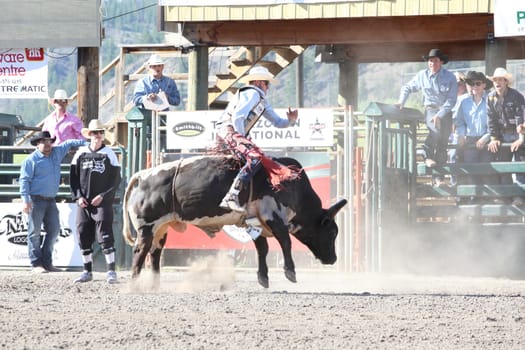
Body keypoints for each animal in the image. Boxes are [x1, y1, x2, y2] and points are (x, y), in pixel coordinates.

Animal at [121, 155, 346, 288]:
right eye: (332, 232)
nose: (333, 259)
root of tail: (142, 175)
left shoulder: (255, 221)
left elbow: (262, 248)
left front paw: (263, 278)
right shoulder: (272, 215)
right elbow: (285, 241)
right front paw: (290, 272)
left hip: (161, 228)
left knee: (155, 253)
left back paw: (154, 285)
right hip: (147, 227)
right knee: (141, 251)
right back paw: (135, 284)